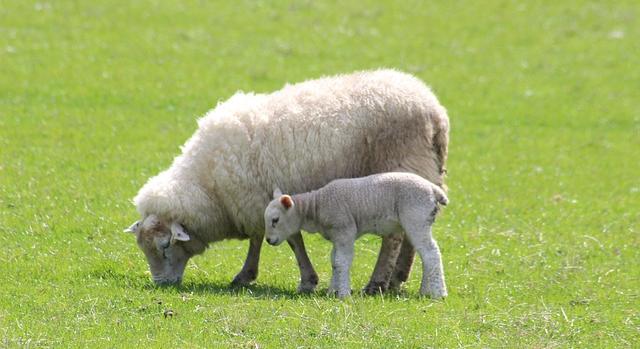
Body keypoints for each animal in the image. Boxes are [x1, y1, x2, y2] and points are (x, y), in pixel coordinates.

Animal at [262, 171, 448, 296]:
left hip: (416, 218)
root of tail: (433, 189)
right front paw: (332, 291)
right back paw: (426, 291)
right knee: (427, 254)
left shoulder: (345, 230)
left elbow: (342, 261)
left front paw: (343, 294)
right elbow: (334, 262)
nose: (269, 240)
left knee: (431, 252)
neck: (317, 205)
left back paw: (438, 293)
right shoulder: (337, 235)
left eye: (275, 220)